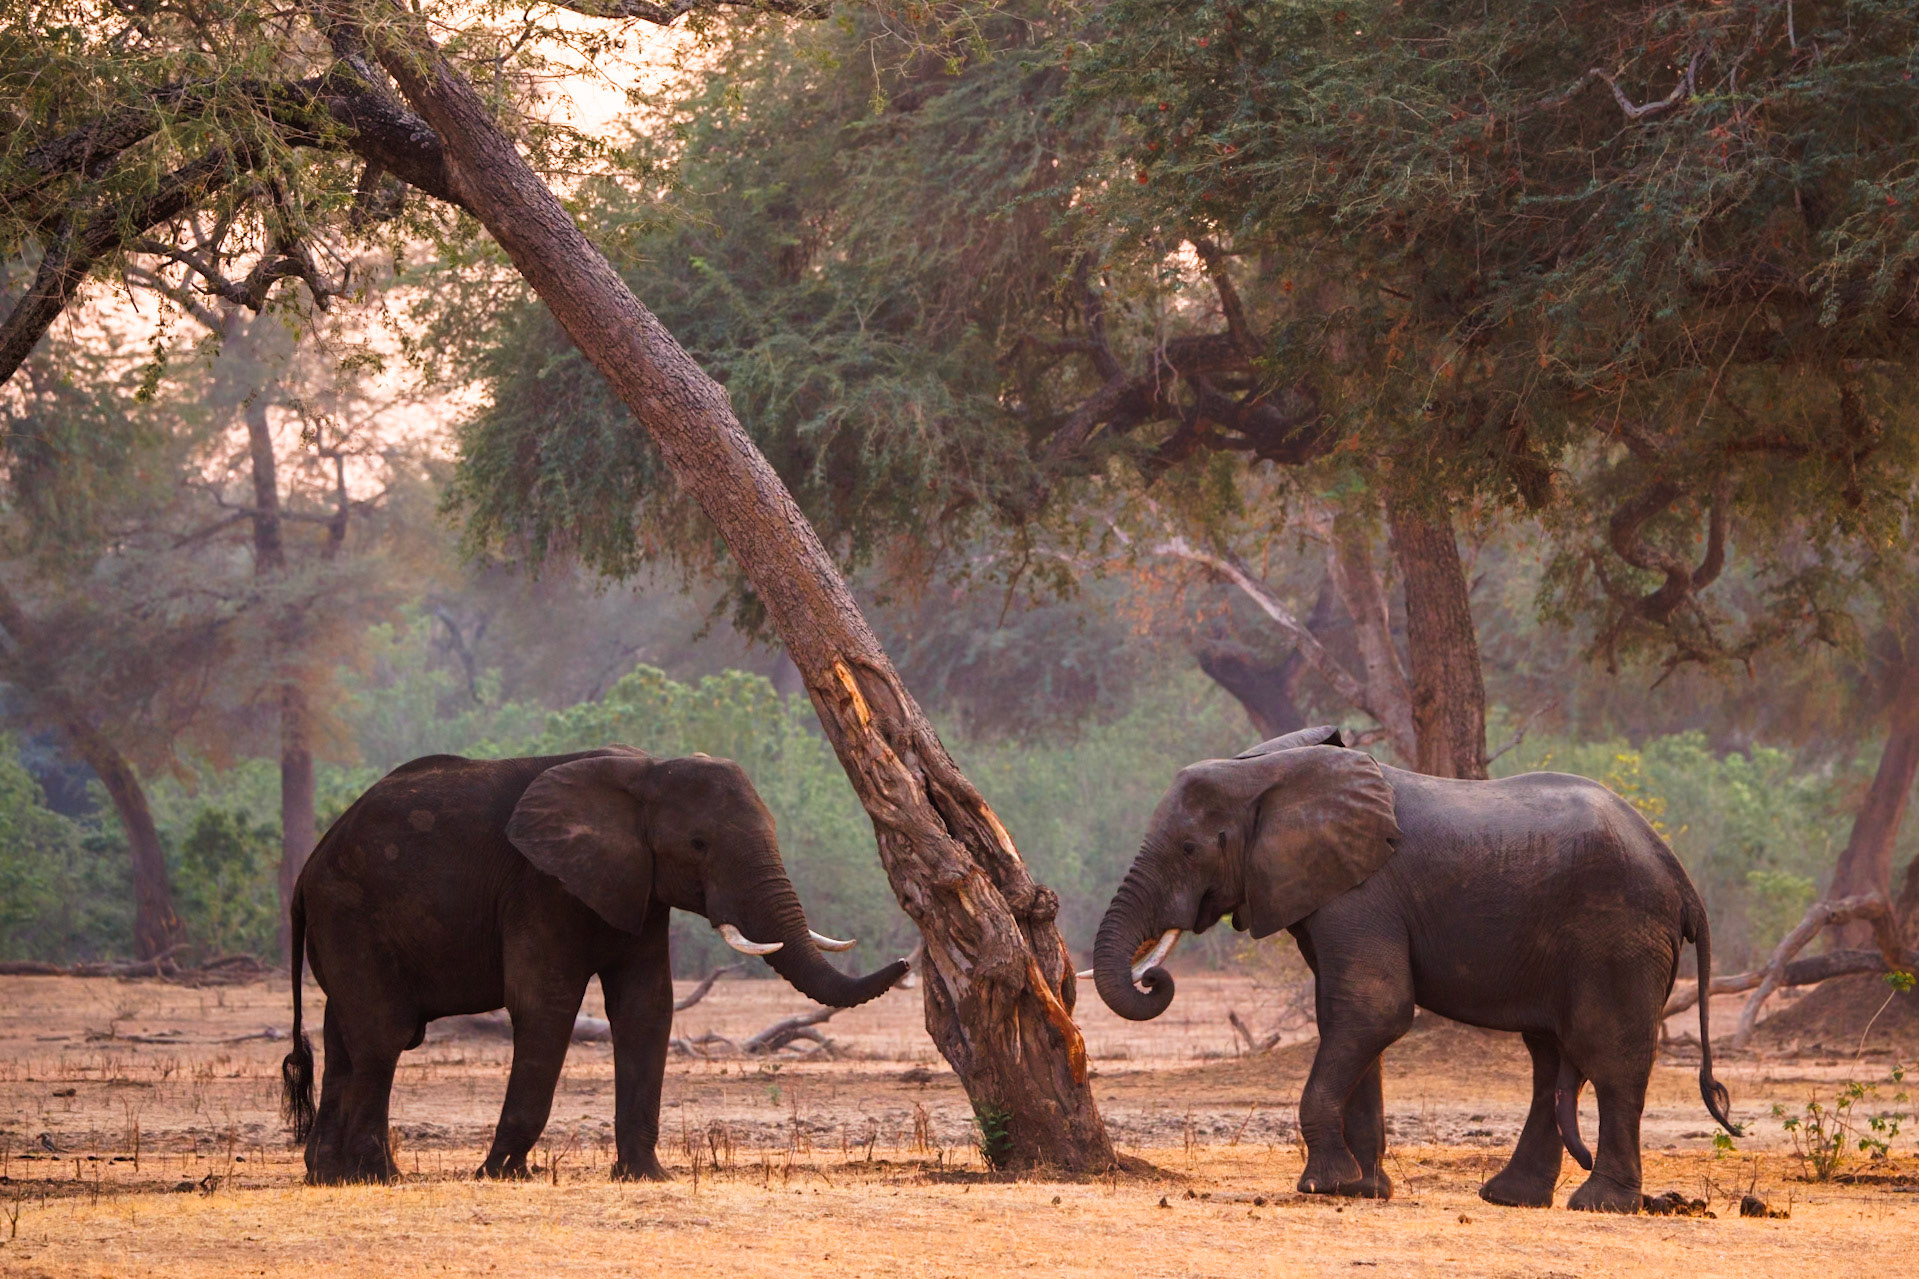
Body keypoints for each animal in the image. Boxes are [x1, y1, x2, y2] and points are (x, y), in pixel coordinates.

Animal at [280, 747, 907, 1185]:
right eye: (698, 844)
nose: (905, 961)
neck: (646, 770)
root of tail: (307, 869)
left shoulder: (640, 889)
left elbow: (647, 1006)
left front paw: (646, 1176)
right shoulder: (540, 885)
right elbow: (546, 1005)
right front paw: (503, 1174)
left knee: (343, 1035)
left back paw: (328, 1175)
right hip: (350, 912)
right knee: (382, 1036)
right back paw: (377, 1177)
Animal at [1089, 726, 1739, 1213]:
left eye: (1190, 848)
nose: (1153, 976)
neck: (1271, 770)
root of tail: (1682, 879)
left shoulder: (1363, 892)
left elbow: (1373, 1010)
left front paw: (1323, 1184)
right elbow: (1346, 1018)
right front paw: (1362, 1189)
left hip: (1620, 935)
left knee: (1608, 1054)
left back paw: (1600, 1203)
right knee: (1549, 1059)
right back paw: (1511, 1197)